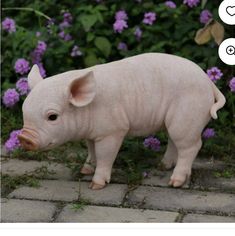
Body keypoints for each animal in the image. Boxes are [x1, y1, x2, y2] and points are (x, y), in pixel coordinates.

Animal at [18, 53, 226, 190]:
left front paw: (95, 185)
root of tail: (208, 83)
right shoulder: (92, 134)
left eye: (52, 116)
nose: (24, 137)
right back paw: (162, 166)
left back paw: (174, 183)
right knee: (175, 142)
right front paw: (85, 171)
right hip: (176, 121)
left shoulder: (113, 130)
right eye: (24, 110)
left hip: (187, 117)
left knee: (192, 146)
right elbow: (91, 151)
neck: (88, 107)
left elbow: (105, 155)